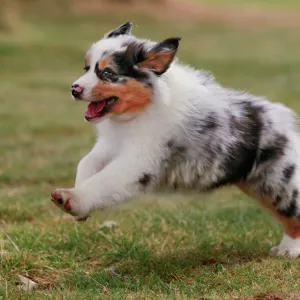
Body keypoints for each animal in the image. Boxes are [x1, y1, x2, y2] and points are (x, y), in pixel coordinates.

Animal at [52, 21, 300, 256]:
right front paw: (79, 209)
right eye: (86, 68)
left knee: (294, 212)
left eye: (107, 74)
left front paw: (70, 198)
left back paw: (288, 250)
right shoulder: (110, 146)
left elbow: (104, 181)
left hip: (279, 182)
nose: (74, 89)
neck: (138, 112)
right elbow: (87, 163)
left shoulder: (138, 161)